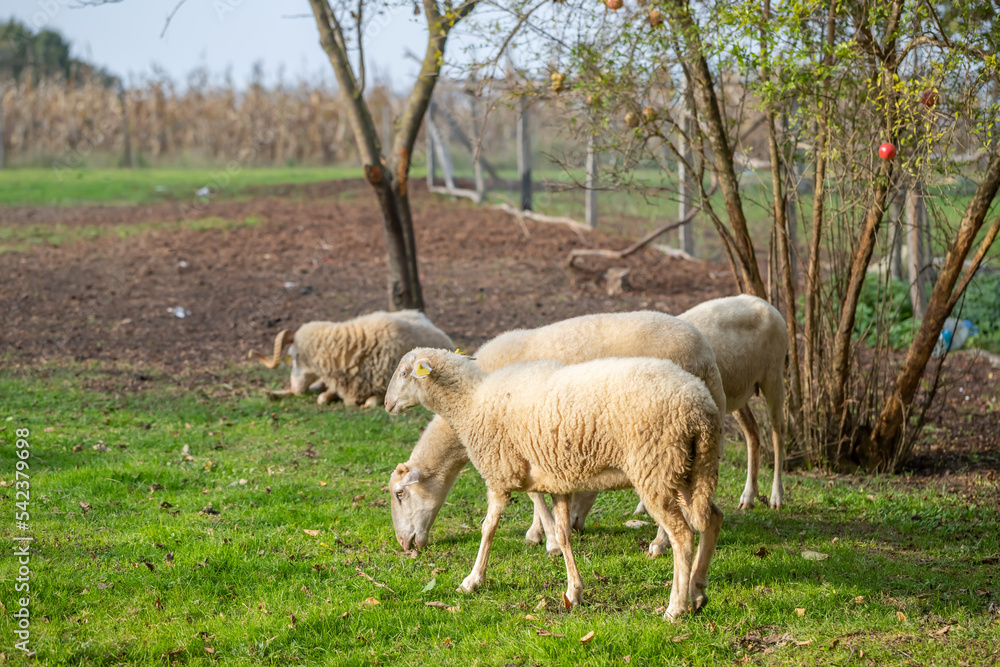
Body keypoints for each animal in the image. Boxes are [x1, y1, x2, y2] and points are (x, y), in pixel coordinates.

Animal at [382, 350, 720, 620]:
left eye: (404, 373)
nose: (386, 404)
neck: (470, 402)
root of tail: (701, 407)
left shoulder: (499, 474)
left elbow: (488, 528)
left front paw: (472, 580)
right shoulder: (558, 481)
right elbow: (563, 533)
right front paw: (574, 591)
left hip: (656, 466)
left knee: (683, 536)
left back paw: (675, 607)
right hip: (691, 469)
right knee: (711, 519)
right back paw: (697, 591)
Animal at [386, 310, 724, 556]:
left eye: (399, 493)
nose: (404, 545)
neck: (473, 395)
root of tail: (705, 351)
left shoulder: (520, 441)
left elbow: (535, 496)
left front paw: (546, 538)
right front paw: (541, 532)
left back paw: (659, 543)